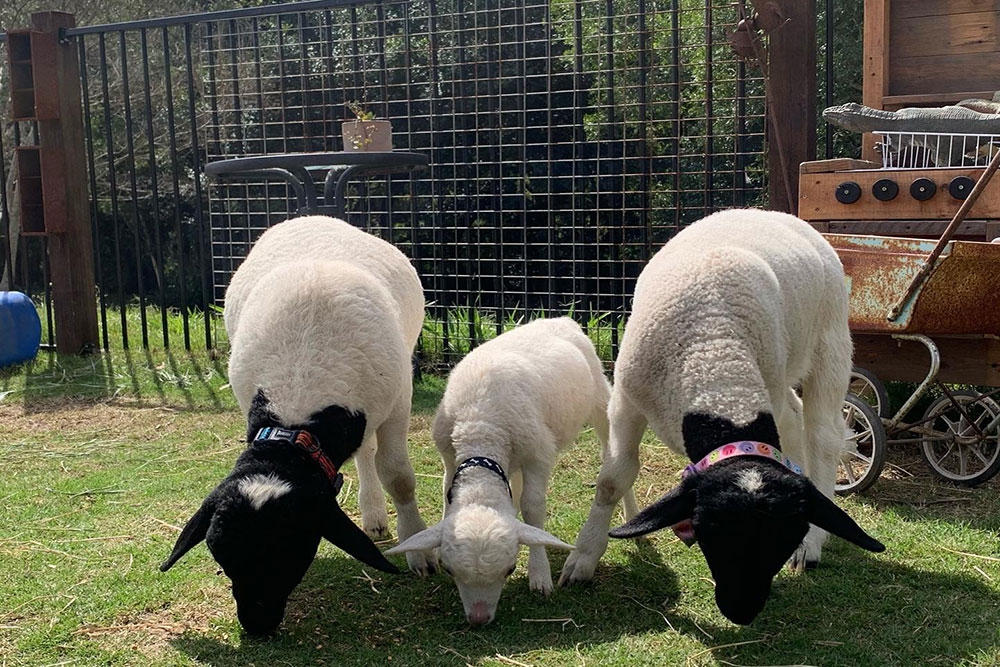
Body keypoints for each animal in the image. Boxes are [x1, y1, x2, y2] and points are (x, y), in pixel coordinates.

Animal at [160, 215, 435, 636]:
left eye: (291, 552)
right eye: (223, 562)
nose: (256, 626)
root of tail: (313, 217)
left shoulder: (399, 401)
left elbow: (399, 477)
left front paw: (418, 547)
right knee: (366, 451)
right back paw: (373, 516)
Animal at [385, 317, 638, 626]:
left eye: (510, 569)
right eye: (449, 570)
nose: (479, 619)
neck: (480, 429)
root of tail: (561, 319)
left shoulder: (538, 455)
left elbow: (533, 507)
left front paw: (539, 575)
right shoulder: (449, 456)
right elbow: (448, 499)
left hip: (601, 398)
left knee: (611, 454)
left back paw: (631, 513)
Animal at [558, 209, 885, 625]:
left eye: (784, 537)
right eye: (710, 530)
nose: (741, 611)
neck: (713, 357)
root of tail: (769, 213)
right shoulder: (626, 402)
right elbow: (612, 482)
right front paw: (582, 559)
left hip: (830, 344)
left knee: (823, 437)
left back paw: (813, 544)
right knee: (795, 416)